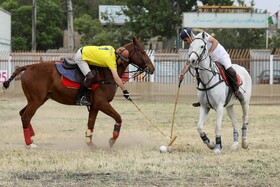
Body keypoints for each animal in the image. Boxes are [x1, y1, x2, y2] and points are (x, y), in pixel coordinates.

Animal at [2, 38, 155, 148]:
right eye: (142, 52)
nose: (152, 69)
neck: (108, 73)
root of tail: (27, 67)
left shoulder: (95, 105)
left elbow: (90, 123)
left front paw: (90, 144)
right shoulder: (102, 103)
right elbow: (118, 117)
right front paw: (112, 139)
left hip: (37, 99)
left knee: (22, 113)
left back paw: (31, 136)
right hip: (36, 100)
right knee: (26, 117)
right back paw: (30, 143)